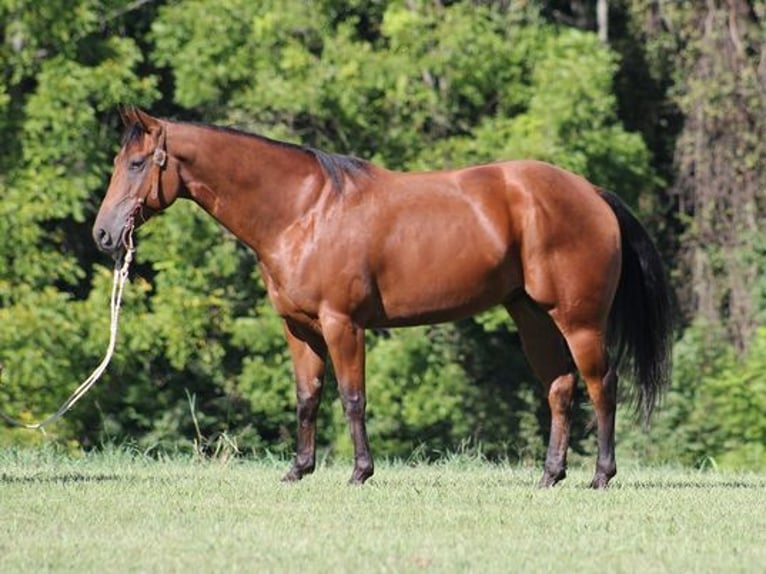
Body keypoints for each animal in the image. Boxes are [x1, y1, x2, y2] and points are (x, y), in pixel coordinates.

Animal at [93, 107, 672, 488]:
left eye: (139, 164)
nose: (103, 234)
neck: (303, 211)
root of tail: (592, 193)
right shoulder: (299, 328)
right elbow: (308, 397)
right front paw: (298, 470)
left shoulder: (342, 324)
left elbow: (352, 398)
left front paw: (360, 472)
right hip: (531, 317)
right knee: (559, 387)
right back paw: (550, 476)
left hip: (579, 321)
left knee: (601, 385)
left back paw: (601, 476)